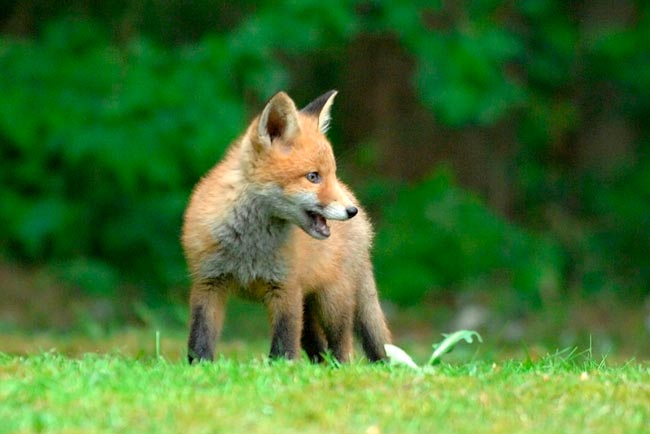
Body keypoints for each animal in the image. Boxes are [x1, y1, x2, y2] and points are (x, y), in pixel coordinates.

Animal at [181, 90, 391, 364]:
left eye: (331, 174)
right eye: (313, 177)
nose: (351, 211)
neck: (250, 245)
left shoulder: (286, 287)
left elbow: (284, 343)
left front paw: (281, 370)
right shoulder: (208, 282)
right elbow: (200, 338)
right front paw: (200, 368)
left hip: (332, 301)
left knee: (343, 346)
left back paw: (341, 368)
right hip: (310, 311)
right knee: (319, 348)